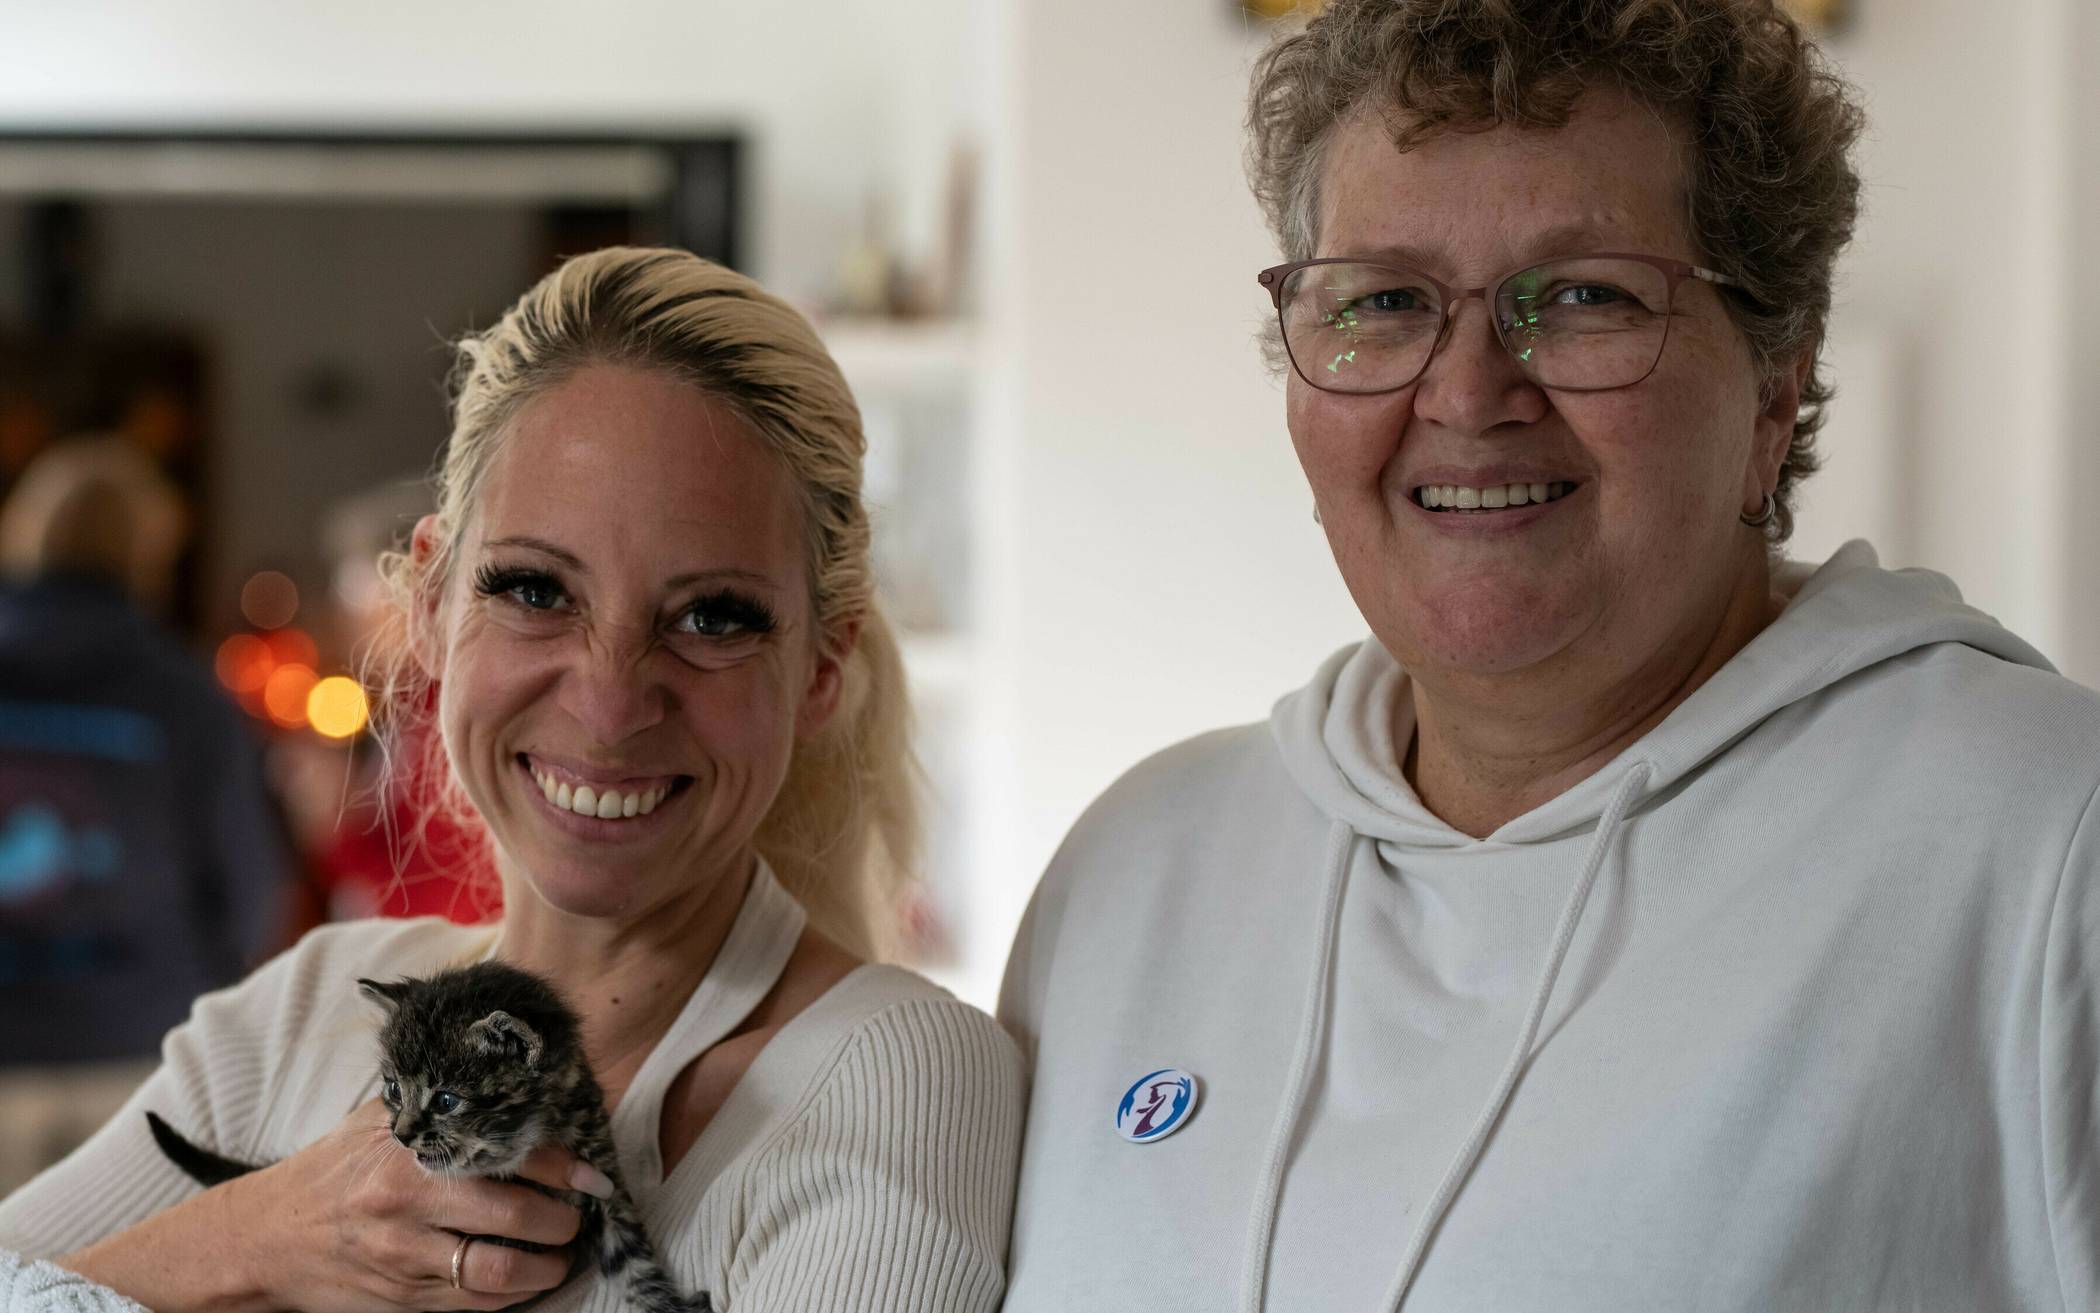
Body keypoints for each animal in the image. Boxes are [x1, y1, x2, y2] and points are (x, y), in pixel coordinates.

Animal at [145, 953, 713, 1310]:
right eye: (394, 1088)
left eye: (445, 1101)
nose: (400, 1134)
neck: (524, 1153)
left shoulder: (600, 1173)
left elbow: (635, 1260)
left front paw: (667, 1304)